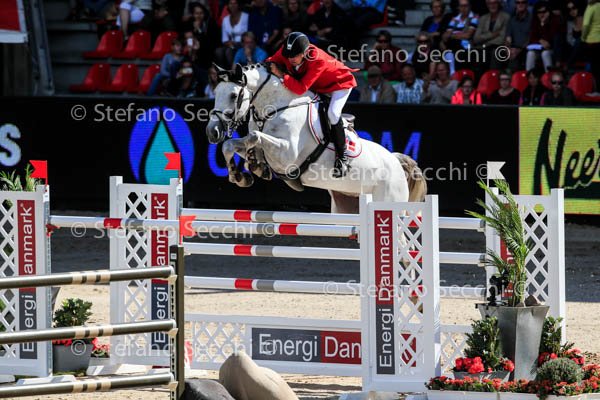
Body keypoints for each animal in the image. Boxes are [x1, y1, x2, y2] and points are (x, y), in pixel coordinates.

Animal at [205, 63, 427, 213]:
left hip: (388, 199)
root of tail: (396, 161)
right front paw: (242, 175)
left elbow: (254, 136)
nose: (212, 132)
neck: (275, 108)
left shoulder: (287, 155)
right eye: (215, 91)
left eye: (234, 95)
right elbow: (230, 145)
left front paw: (253, 167)